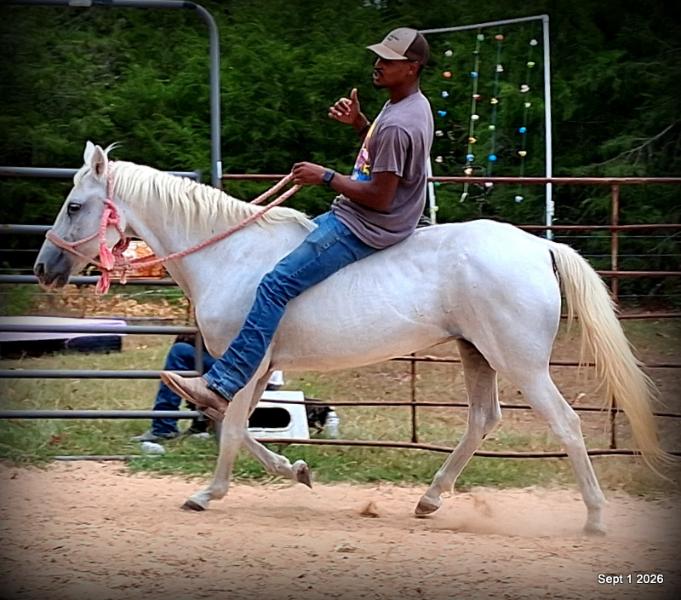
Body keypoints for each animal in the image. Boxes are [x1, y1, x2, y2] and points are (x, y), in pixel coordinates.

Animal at [34, 142, 667, 535]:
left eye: (74, 205)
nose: (44, 268)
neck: (229, 254)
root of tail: (539, 246)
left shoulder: (247, 359)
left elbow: (230, 427)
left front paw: (206, 495)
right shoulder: (256, 368)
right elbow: (237, 427)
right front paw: (295, 470)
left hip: (523, 365)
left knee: (566, 425)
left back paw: (594, 518)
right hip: (477, 355)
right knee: (482, 421)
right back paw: (429, 499)